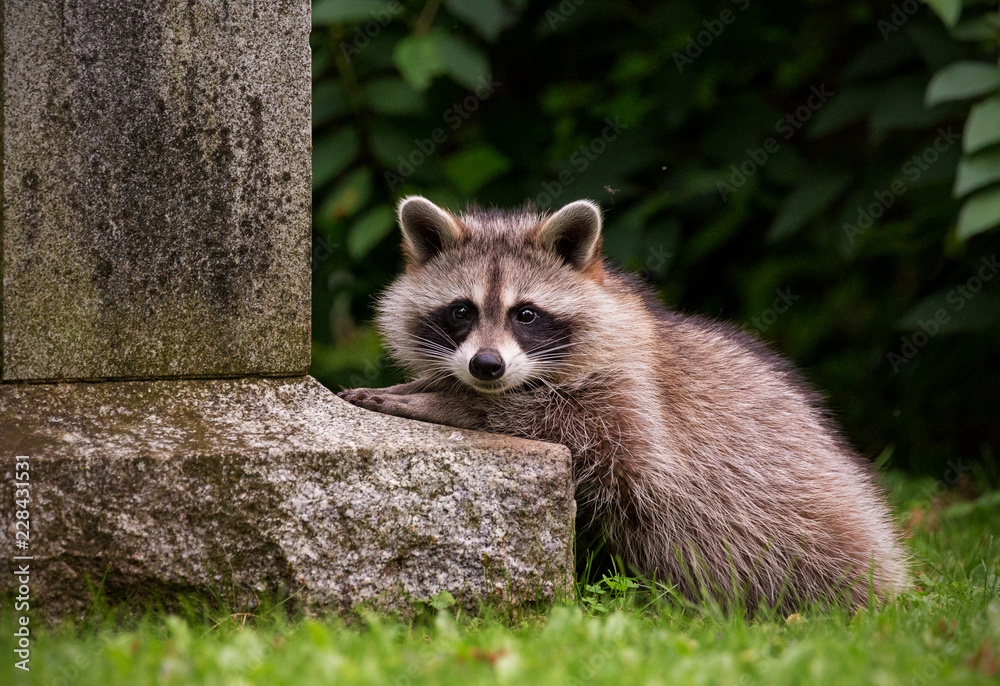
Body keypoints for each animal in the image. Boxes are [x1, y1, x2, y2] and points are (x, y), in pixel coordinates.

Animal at [340, 196, 912, 616]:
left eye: (526, 314)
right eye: (462, 310)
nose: (486, 366)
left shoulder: (633, 395)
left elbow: (583, 434)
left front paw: (450, 402)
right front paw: (429, 384)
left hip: (813, 528)